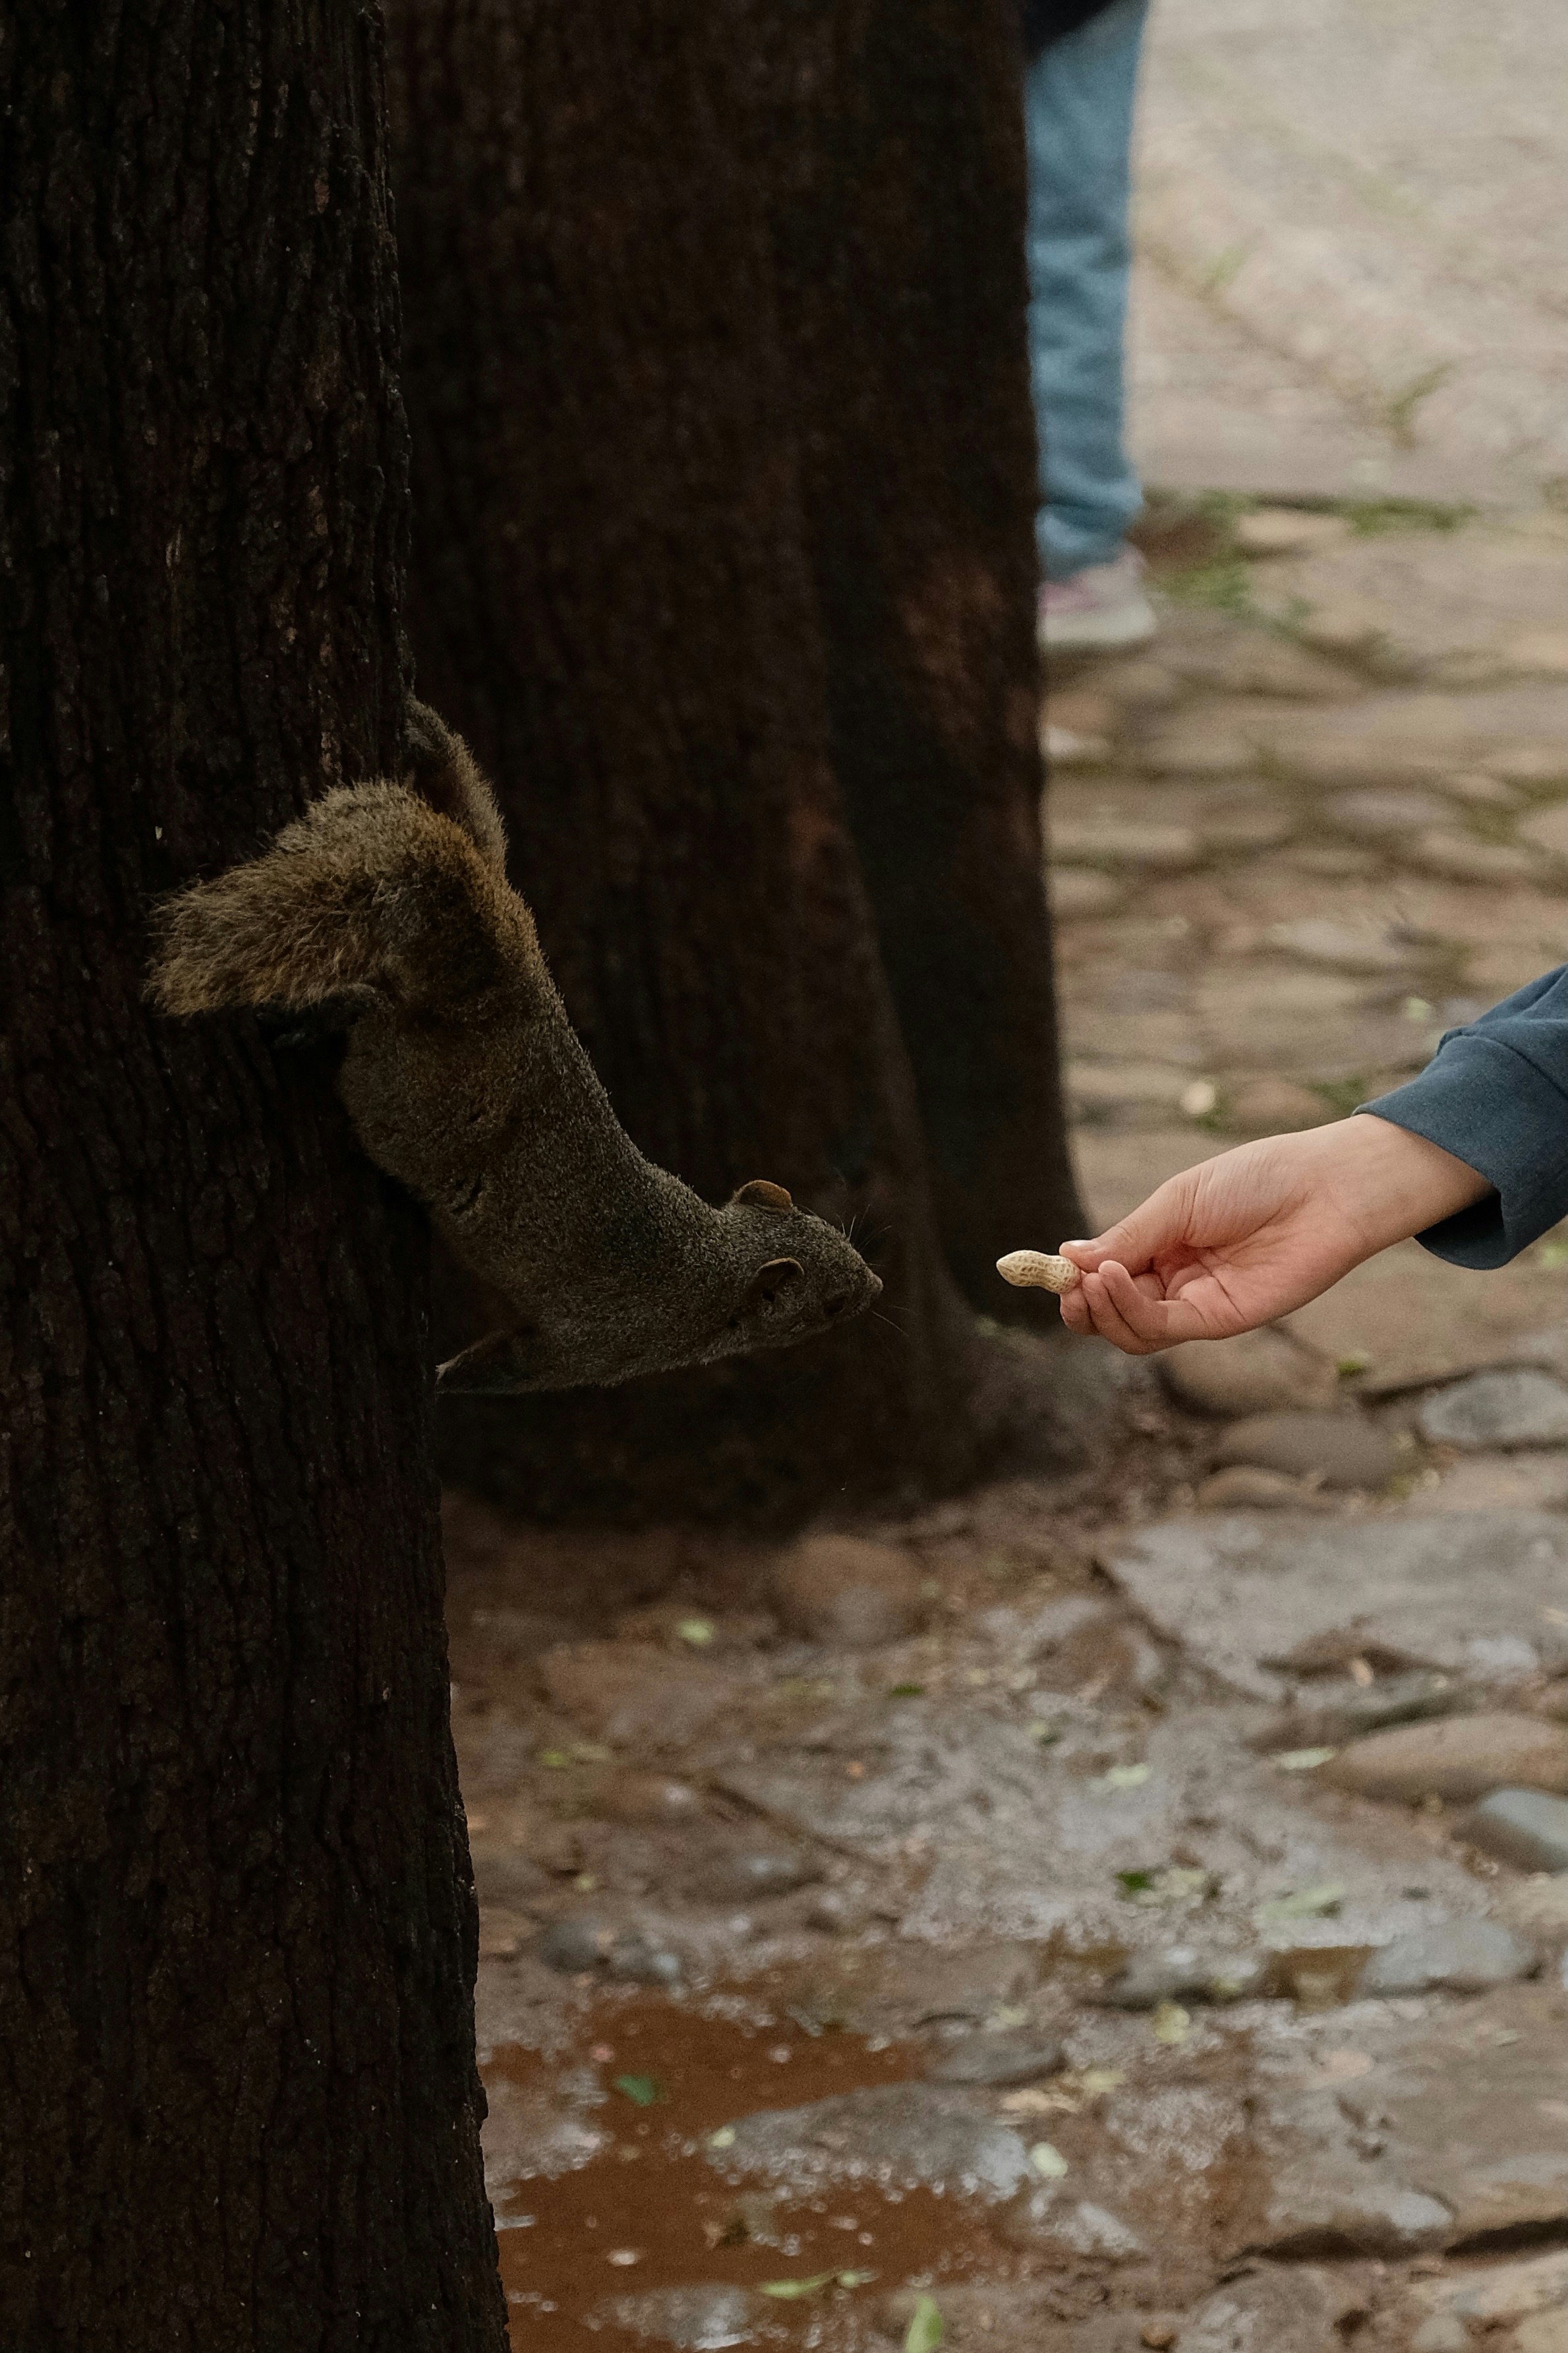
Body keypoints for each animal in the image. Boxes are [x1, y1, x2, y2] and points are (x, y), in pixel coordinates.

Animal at [149, 702, 880, 1392]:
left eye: (828, 1229)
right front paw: (440, 1380)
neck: (716, 1264)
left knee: (478, 848)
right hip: (409, 1102)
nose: (875, 1285)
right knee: (379, 1029)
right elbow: (512, 1365)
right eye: (832, 1301)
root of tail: (507, 990)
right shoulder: (605, 1346)